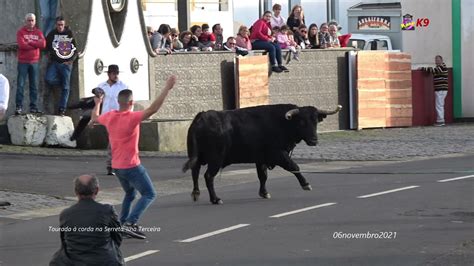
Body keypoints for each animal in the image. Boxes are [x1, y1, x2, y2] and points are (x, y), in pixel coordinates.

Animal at [181, 103, 340, 204]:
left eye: (315, 121)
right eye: (301, 122)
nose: (314, 140)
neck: (283, 123)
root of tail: (201, 117)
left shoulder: (261, 158)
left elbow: (263, 176)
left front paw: (264, 193)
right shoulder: (278, 154)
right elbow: (294, 166)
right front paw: (305, 184)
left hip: (197, 156)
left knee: (195, 172)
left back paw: (196, 193)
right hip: (216, 159)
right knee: (208, 176)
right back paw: (215, 199)